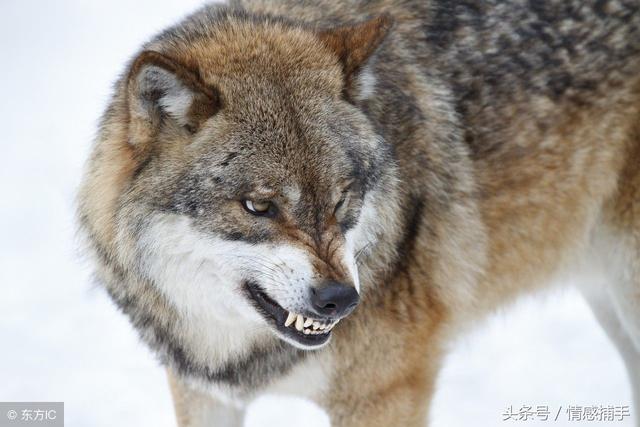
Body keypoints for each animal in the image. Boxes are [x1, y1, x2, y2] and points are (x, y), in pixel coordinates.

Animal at [77, 0, 640, 424]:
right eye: (258, 206)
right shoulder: (202, 392)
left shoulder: (386, 393)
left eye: (343, 197)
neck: (235, 349)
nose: (341, 300)